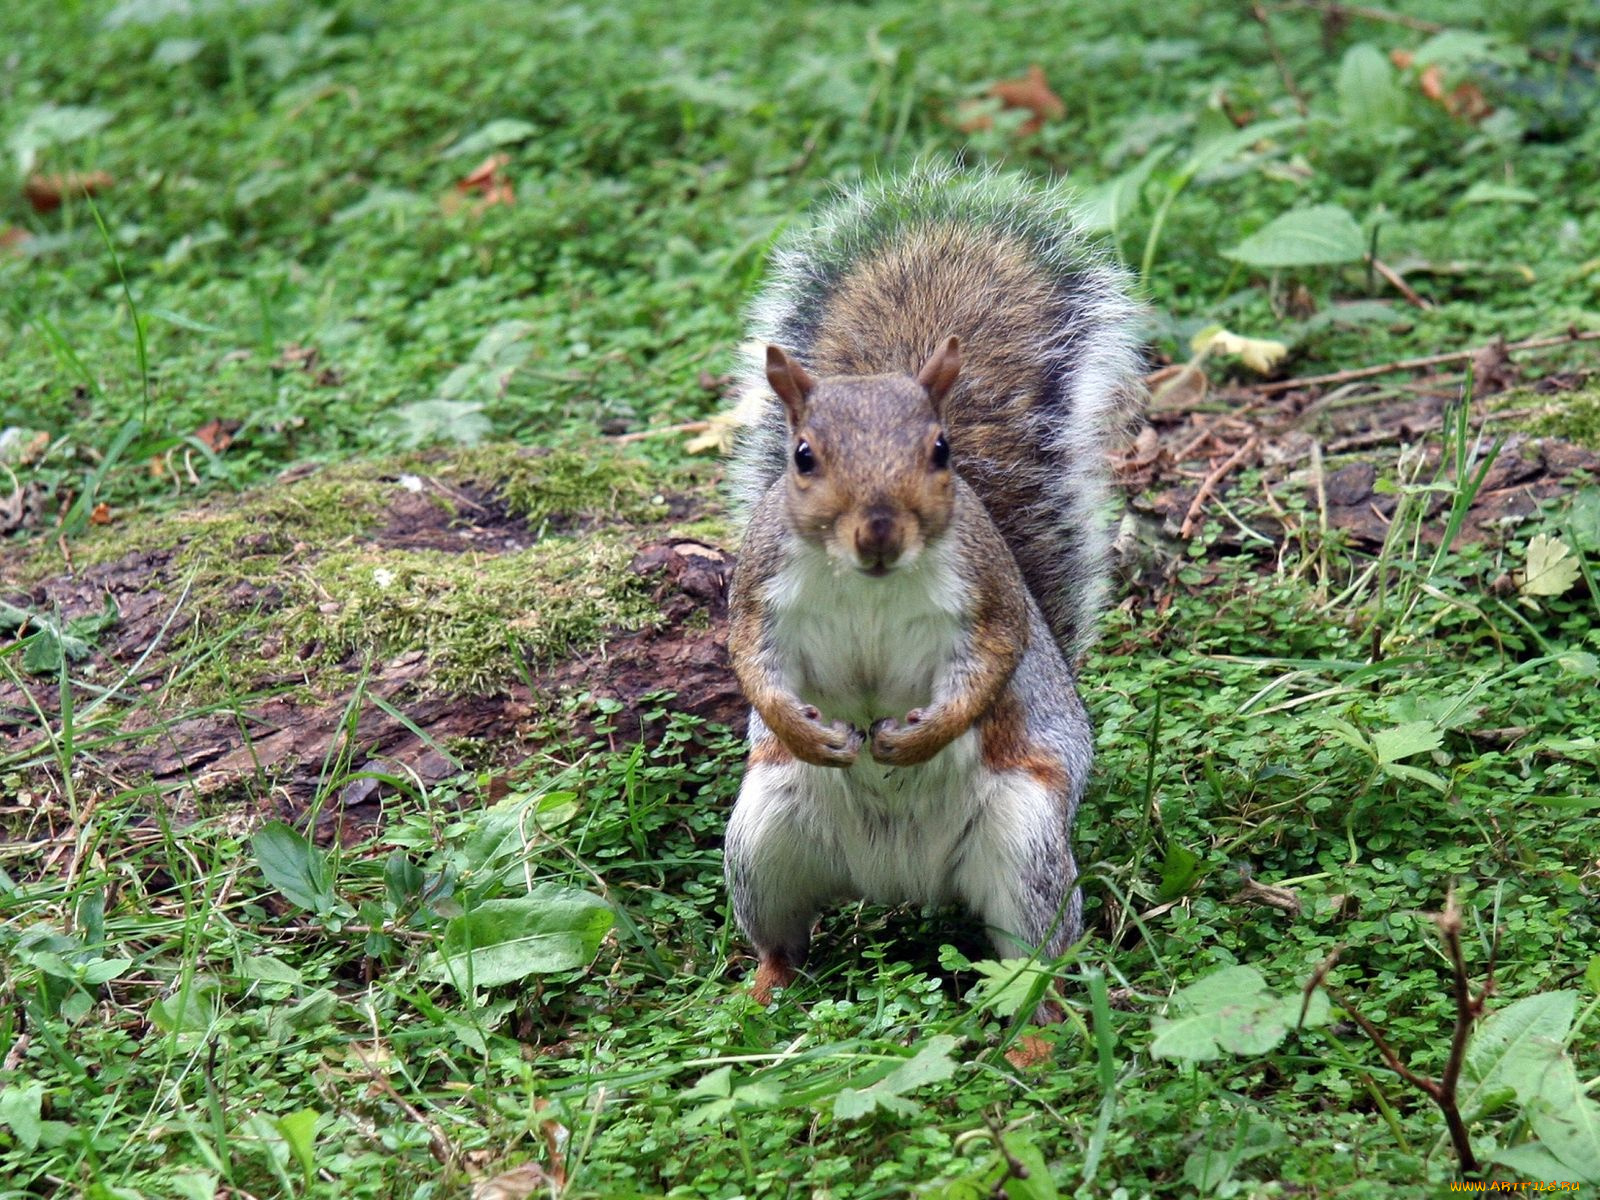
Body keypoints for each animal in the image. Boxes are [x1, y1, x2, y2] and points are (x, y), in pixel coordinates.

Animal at [720, 164, 1145, 1011]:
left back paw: (1041, 1022)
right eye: (803, 455)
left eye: (941, 450)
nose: (880, 531)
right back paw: (763, 989)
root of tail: (897, 881)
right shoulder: (758, 588)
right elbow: (750, 659)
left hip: (1026, 848)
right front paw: (802, 728)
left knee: (1035, 954)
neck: (869, 582)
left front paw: (916, 738)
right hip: (762, 841)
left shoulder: (989, 596)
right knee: (783, 939)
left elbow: (992, 664)